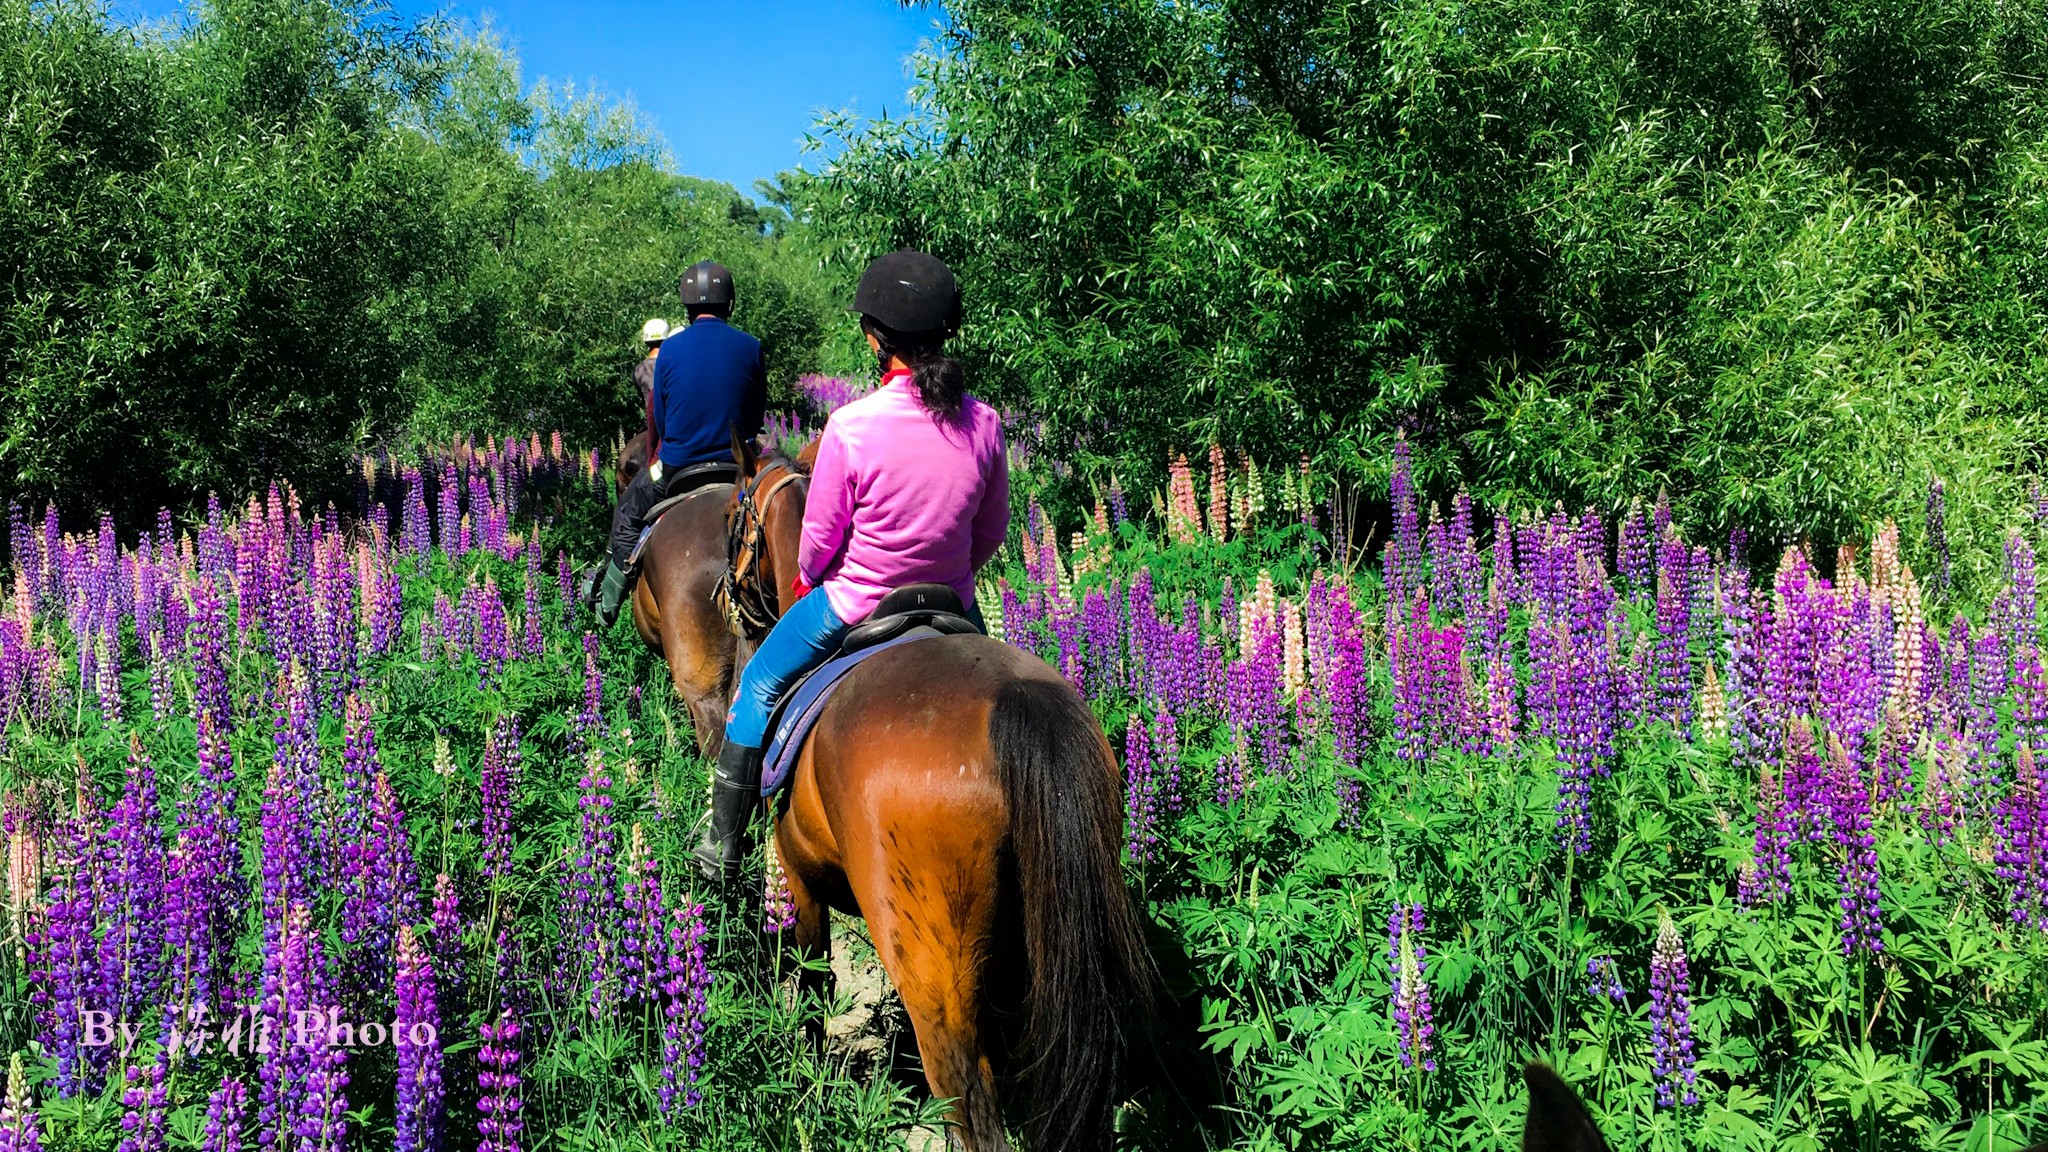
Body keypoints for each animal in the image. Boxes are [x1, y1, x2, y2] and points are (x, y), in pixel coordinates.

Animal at [733, 440, 1163, 1147]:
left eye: (736, 514)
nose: (728, 597)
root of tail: (1017, 702)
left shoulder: (796, 877)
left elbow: (814, 980)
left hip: (935, 979)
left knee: (968, 1105)